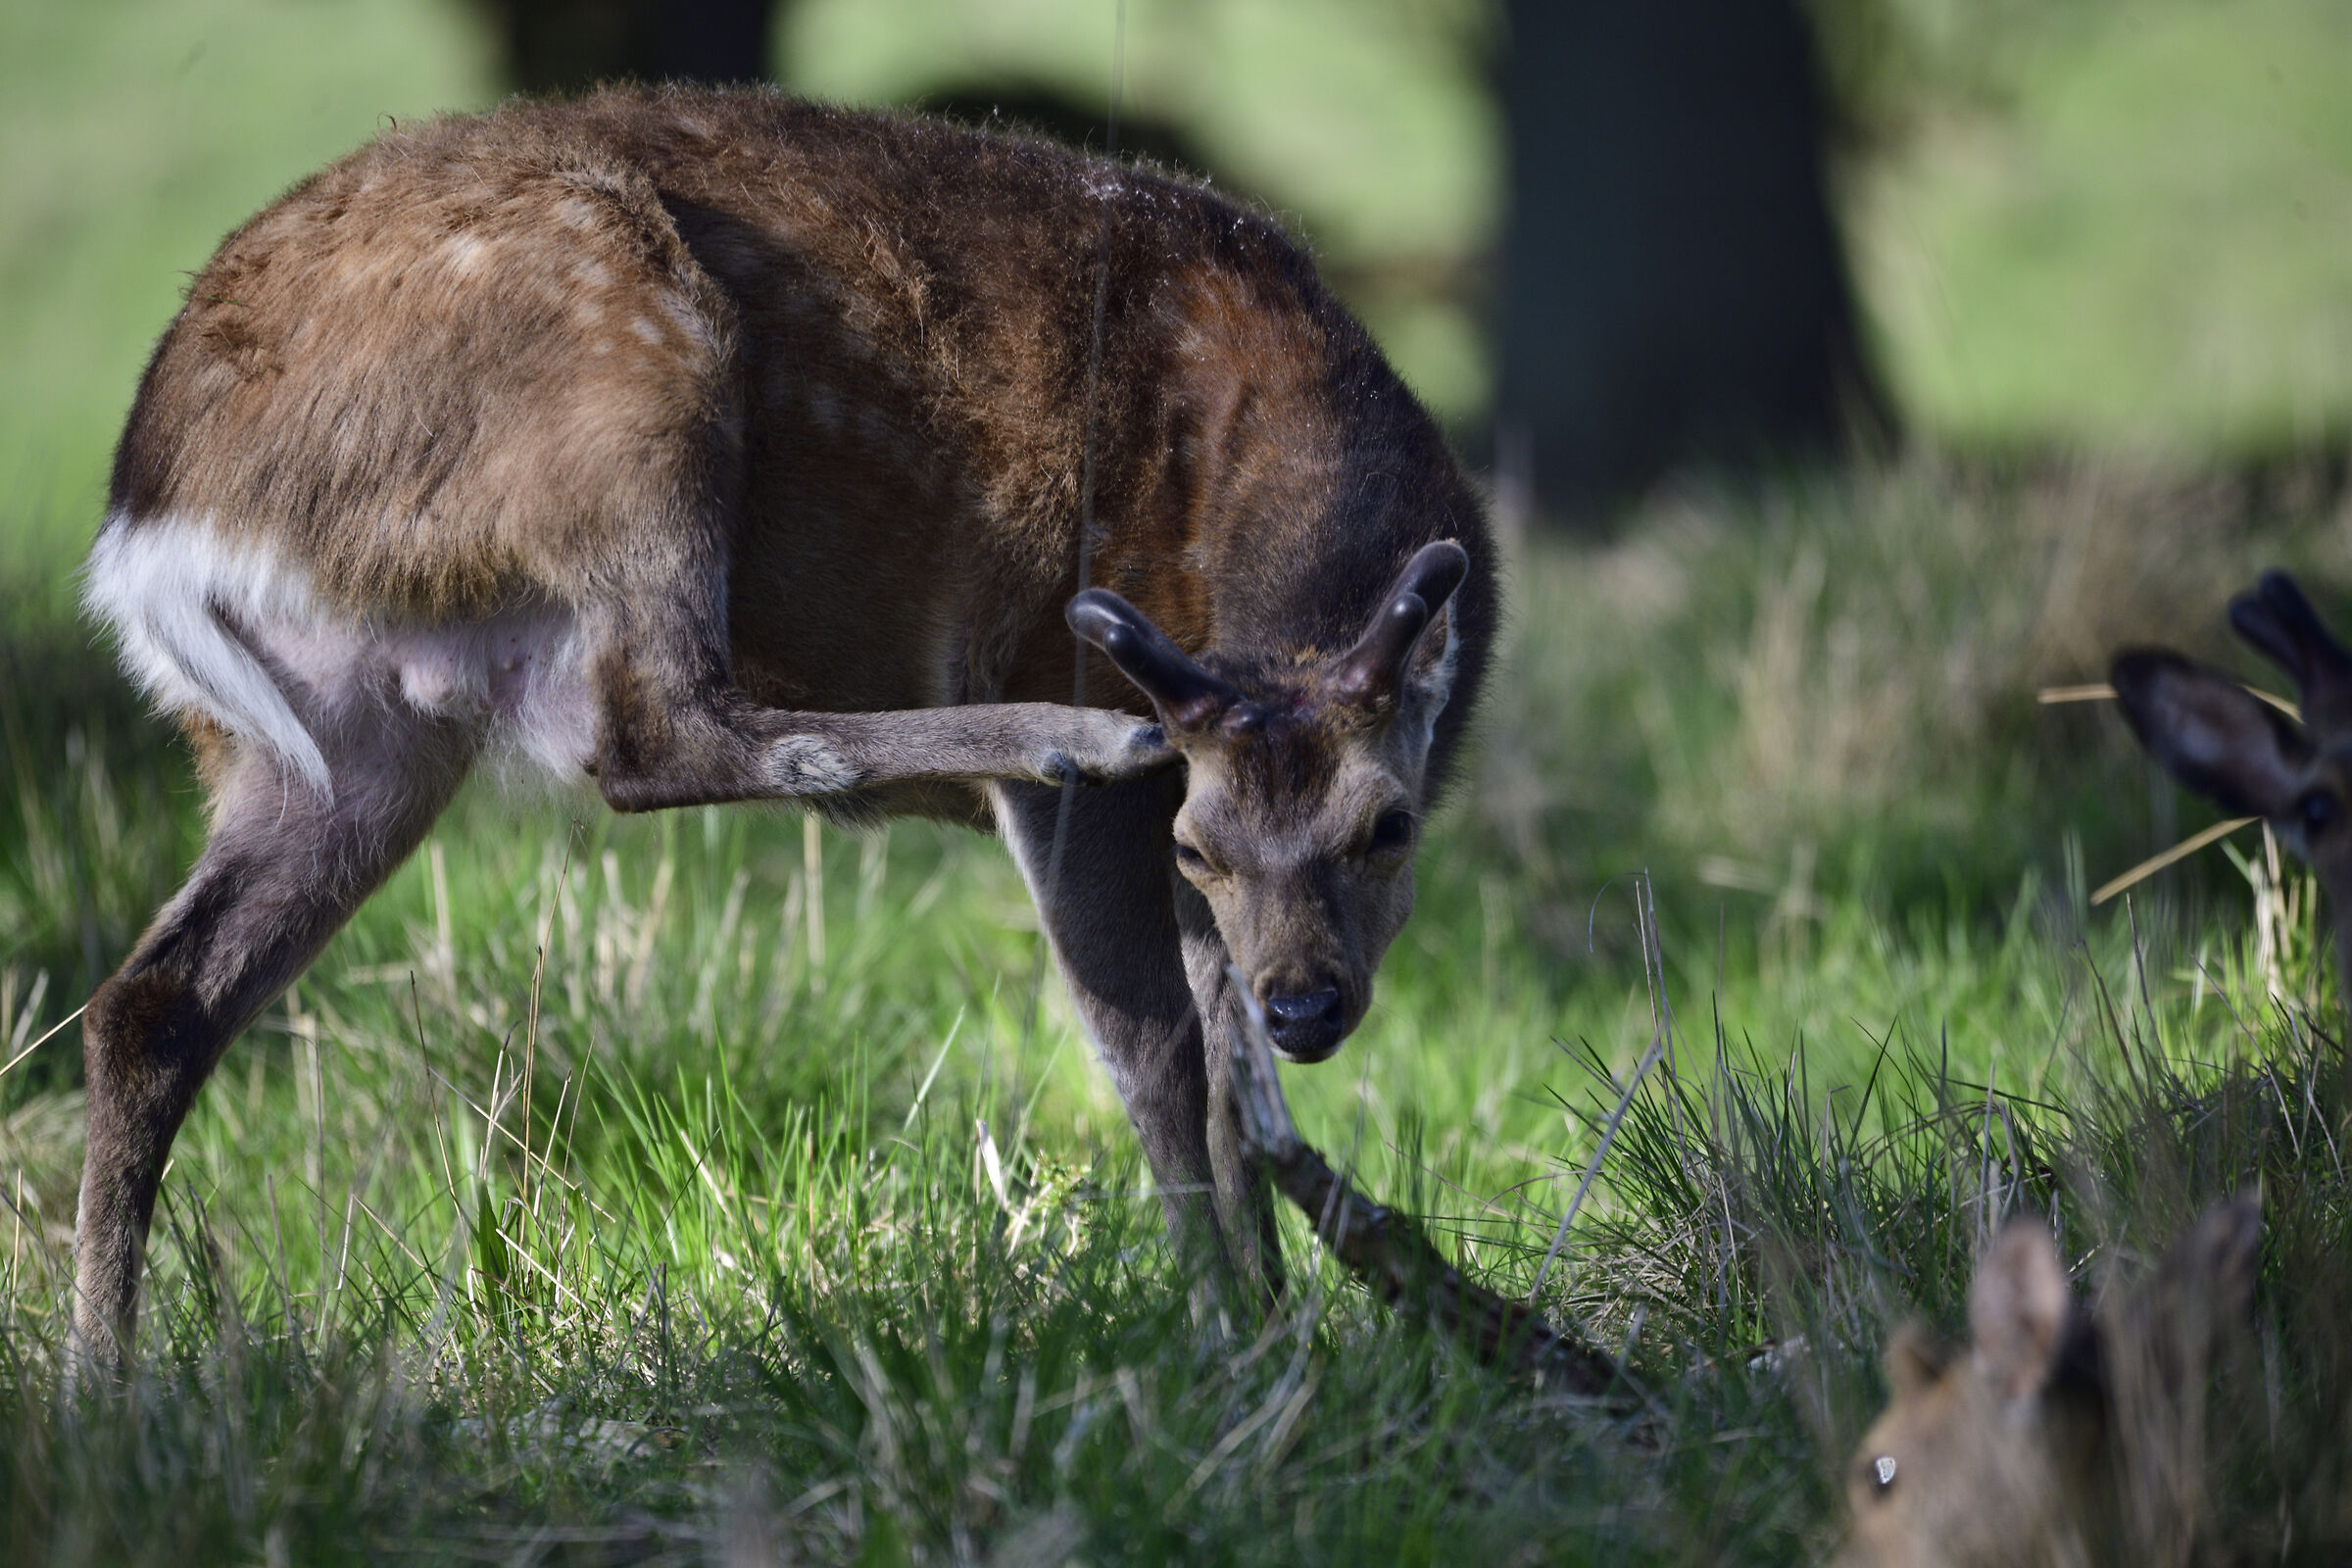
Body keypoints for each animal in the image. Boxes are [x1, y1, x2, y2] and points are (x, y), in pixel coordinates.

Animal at [71, 86, 1495, 1369]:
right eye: (1203, 842)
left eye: (1389, 826)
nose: (1310, 1001)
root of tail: (151, 516)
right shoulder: (1104, 780)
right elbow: (1159, 1054)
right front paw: (1233, 1344)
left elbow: (1232, 1079)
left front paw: (1290, 1320)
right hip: (624, 372)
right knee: (654, 731)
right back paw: (1060, 733)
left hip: (336, 735)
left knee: (154, 998)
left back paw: (103, 1385)